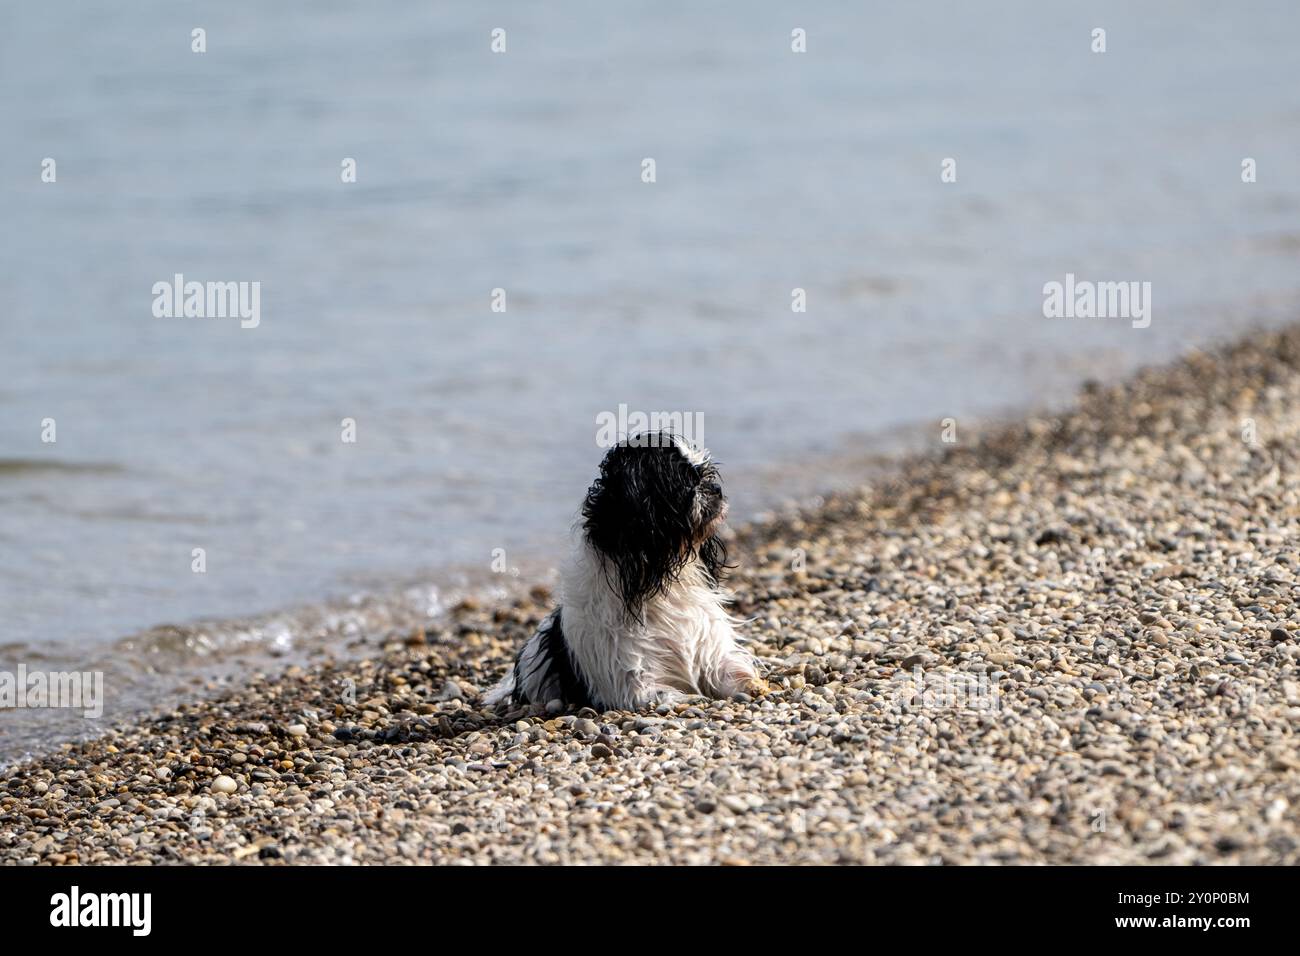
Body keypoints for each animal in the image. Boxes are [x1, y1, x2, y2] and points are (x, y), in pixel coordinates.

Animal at [486, 434, 764, 712]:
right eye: (684, 482)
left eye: (707, 475)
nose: (715, 488)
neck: (661, 581)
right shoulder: (632, 684)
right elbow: (664, 694)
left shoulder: (712, 655)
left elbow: (734, 674)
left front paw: (756, 685)